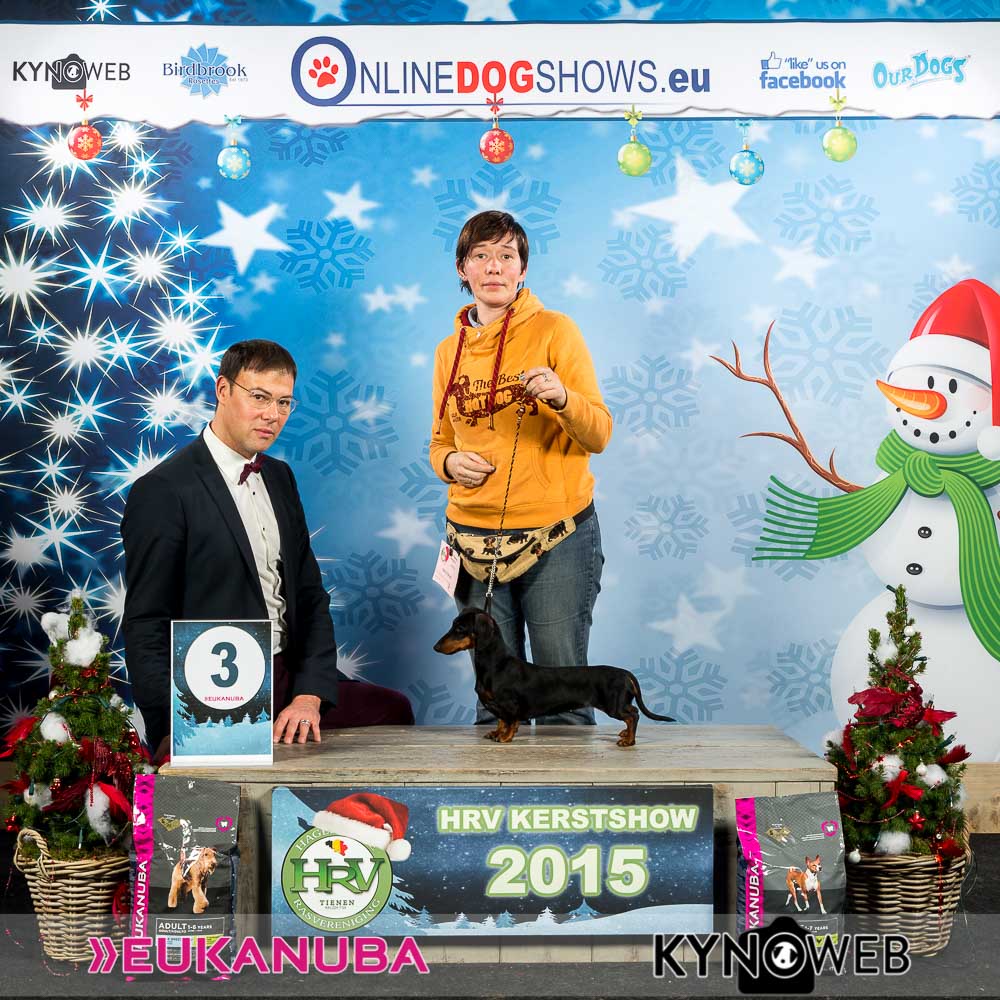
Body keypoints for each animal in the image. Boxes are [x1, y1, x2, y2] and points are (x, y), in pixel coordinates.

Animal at [433, 608, 675, 747]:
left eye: (460, 628)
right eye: (453, 625)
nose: (435, 647)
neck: (496, 664)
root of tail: (626, 673)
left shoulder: (510, 705)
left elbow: (510, 722)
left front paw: (505, 737)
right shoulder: (499, 707)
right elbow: (501, 721)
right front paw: (496, 733)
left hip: (614, 704)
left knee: (633, 715)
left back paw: (629, 740)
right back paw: (625, 735)